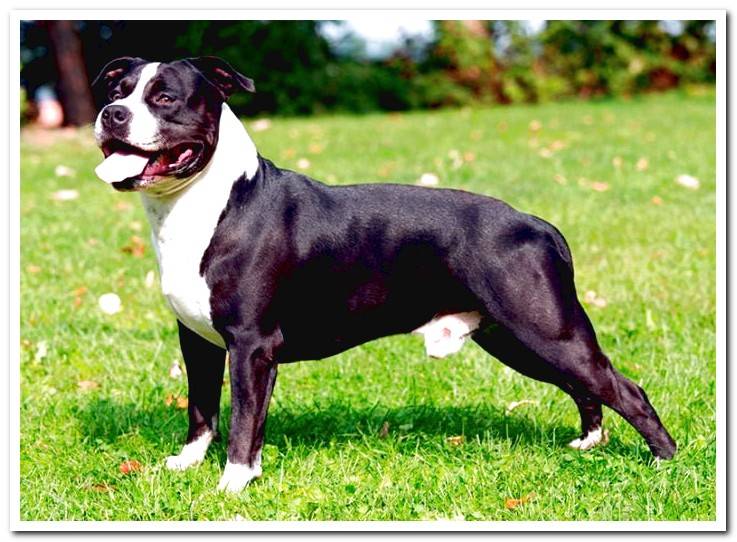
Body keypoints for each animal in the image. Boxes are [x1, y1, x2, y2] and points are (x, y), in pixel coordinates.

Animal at [89, 57, 676, 496]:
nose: (111, 113)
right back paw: (590, 443)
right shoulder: (199, 341)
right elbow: (202, 409)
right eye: (118, 89)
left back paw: (664, 462)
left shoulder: (252, 346)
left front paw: (233, 484)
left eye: (165, 98)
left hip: (544, 330)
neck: (206, 203)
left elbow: (243, 421)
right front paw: (187, 463)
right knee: (585, 385)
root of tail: (536, 223)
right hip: (517, 338)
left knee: (624, 388)